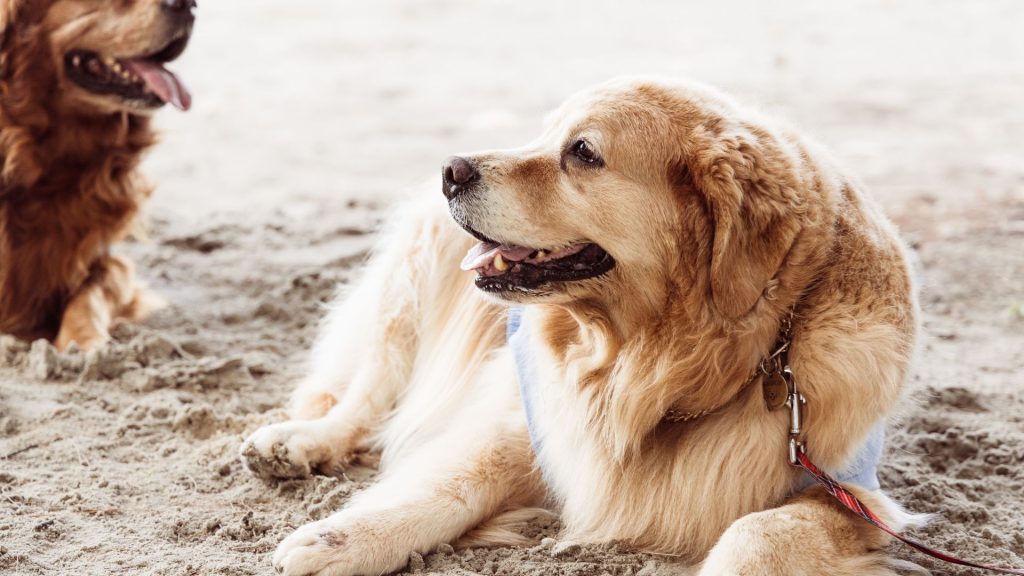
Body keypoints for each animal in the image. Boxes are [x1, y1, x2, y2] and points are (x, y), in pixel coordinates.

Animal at [239, 77, 921, 573]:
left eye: (583, 152)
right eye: (542, 135)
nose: (451, 170)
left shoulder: (852, 494)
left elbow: (760, 532)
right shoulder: (533, 417)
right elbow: (450, 484)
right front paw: (340, 537)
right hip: (412, 279)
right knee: (370, 392)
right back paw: (298, 442)